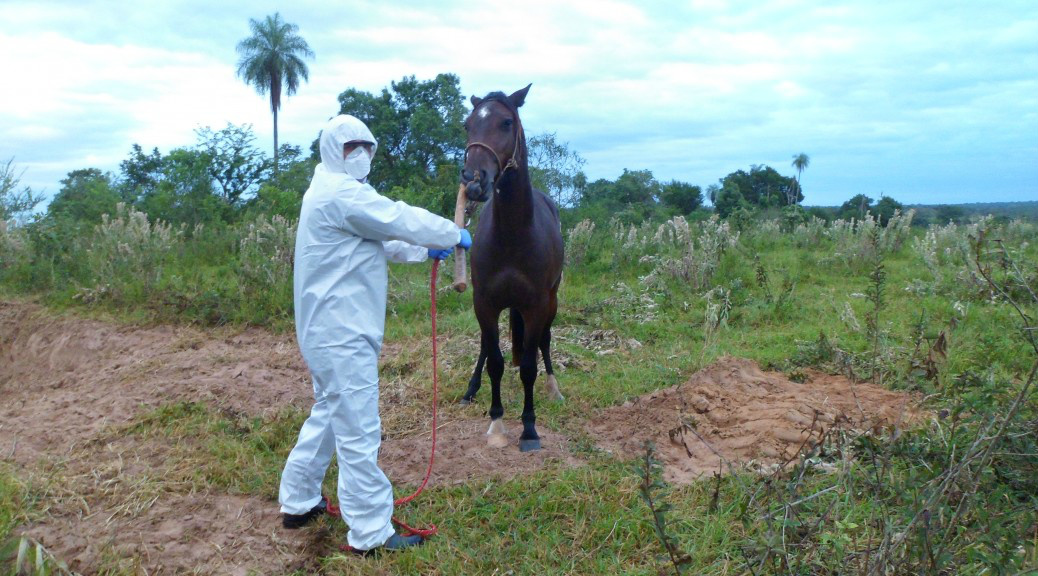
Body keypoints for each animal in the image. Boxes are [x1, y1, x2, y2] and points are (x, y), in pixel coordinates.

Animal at [458, 85, 564, 452]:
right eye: (468, 124)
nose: (474, 180)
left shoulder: (536, 305)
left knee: (544, 341)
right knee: (484, 348)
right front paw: (496, 423)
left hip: (551, 301)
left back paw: (554, 388)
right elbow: (494, 361)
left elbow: (529, 365)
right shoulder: (484, 303)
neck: (513, 234)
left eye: (506, 122)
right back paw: (470, 390)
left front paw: (529, 429)